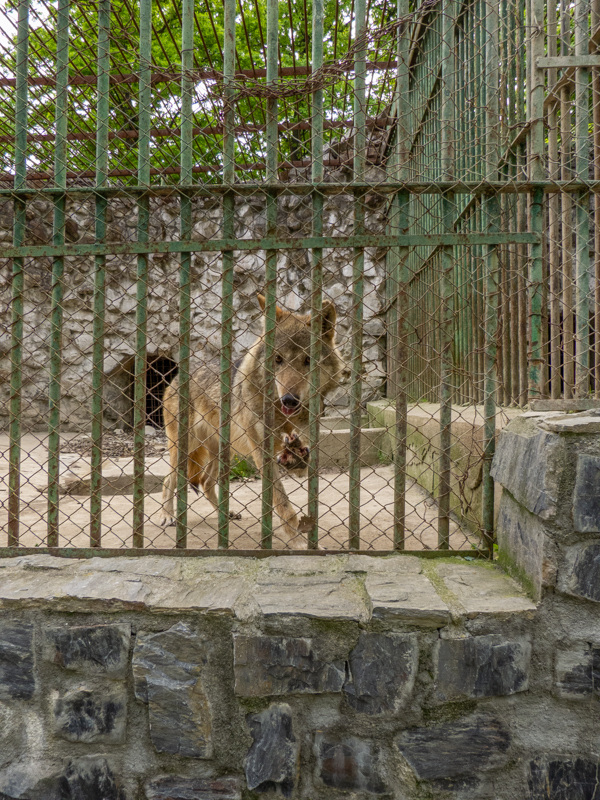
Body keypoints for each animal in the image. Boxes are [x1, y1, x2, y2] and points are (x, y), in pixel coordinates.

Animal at [159, 294, 345, 547]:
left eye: (308, 360)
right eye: (278, 359)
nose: (289, 400)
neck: (279, 414)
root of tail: (176, 377)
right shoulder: (261, 452)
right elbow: (283, 504)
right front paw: (298, 542)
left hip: (222, 453)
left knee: (206, 482)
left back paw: (225, 515)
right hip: (184, 449)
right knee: (169, 480)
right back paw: (168, 516)